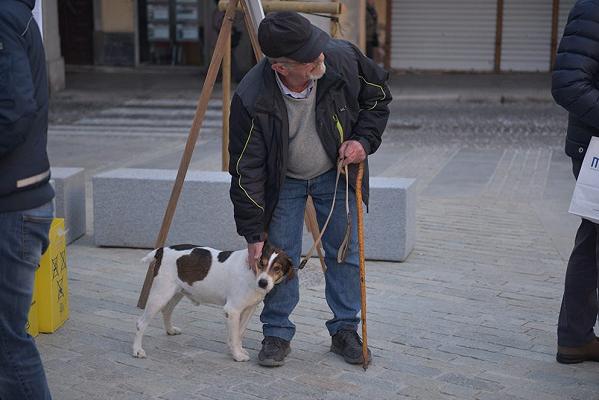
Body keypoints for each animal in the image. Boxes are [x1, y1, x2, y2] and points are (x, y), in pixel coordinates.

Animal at [135, 242, 296, 360]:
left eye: (277, 268)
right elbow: (234, 334)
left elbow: (239, 333)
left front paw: (236, 349)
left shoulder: (248, 309)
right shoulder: (232, 310)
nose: (263, 283)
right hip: (160, 295)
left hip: (176, 292)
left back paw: (170, 330)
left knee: (167, 310)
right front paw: (237, 355)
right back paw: (137, 350)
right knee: (141, 323)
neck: (251, 273)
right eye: (261, 263)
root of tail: (162, 250)